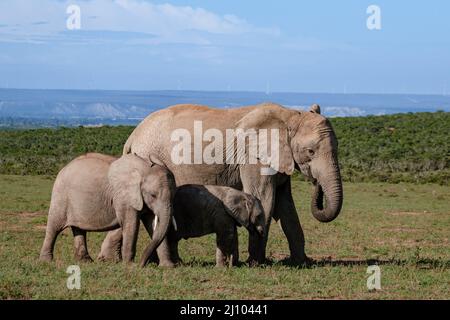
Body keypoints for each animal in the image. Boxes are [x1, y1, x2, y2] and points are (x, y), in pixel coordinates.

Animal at [39, 154, 176, 264]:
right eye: (153, 195)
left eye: (173, 195)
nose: (143, 263)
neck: (144, 169)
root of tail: (63, 168)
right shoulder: (124, 197)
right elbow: (131, 224)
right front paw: (130, 265)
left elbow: (152, 224)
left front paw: (167, 267)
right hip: (60, 195)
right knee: (54, 227)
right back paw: (46, 261)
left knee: (79, 229)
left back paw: (85, 261)